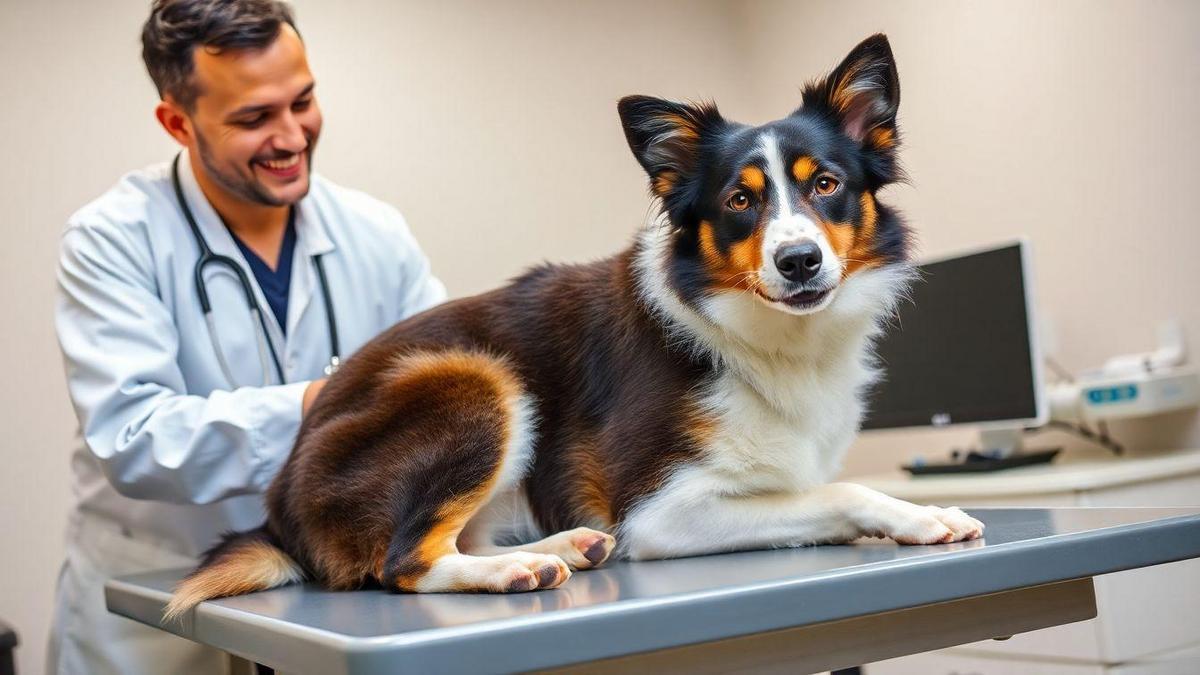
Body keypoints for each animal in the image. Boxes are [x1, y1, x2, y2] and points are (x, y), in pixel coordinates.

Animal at [162, 32, 984, 619]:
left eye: (827, 184)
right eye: (739, 202)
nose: (800, 261)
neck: (756, 334)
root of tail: (279, 501)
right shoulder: (661, 513)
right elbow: (837, 493)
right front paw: (923, 515)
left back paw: (572, 541)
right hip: (475, 376)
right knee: (403, 562)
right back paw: (513, 567)